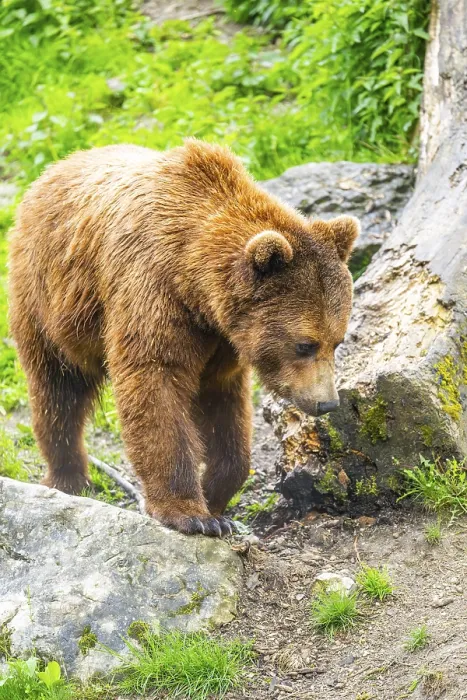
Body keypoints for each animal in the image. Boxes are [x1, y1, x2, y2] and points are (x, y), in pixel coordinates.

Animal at [8, 139, 359, 537]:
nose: (327, 402)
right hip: (47, 298)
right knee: (57, 391)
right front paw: (190, 513)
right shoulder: (151, 288)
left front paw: (217, 502)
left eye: (337, 341)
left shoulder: (223, 339)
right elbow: (155, 381)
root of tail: (54, 168)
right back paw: (68, 477)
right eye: (305, 345)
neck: (193, 278)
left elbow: (224, 408)